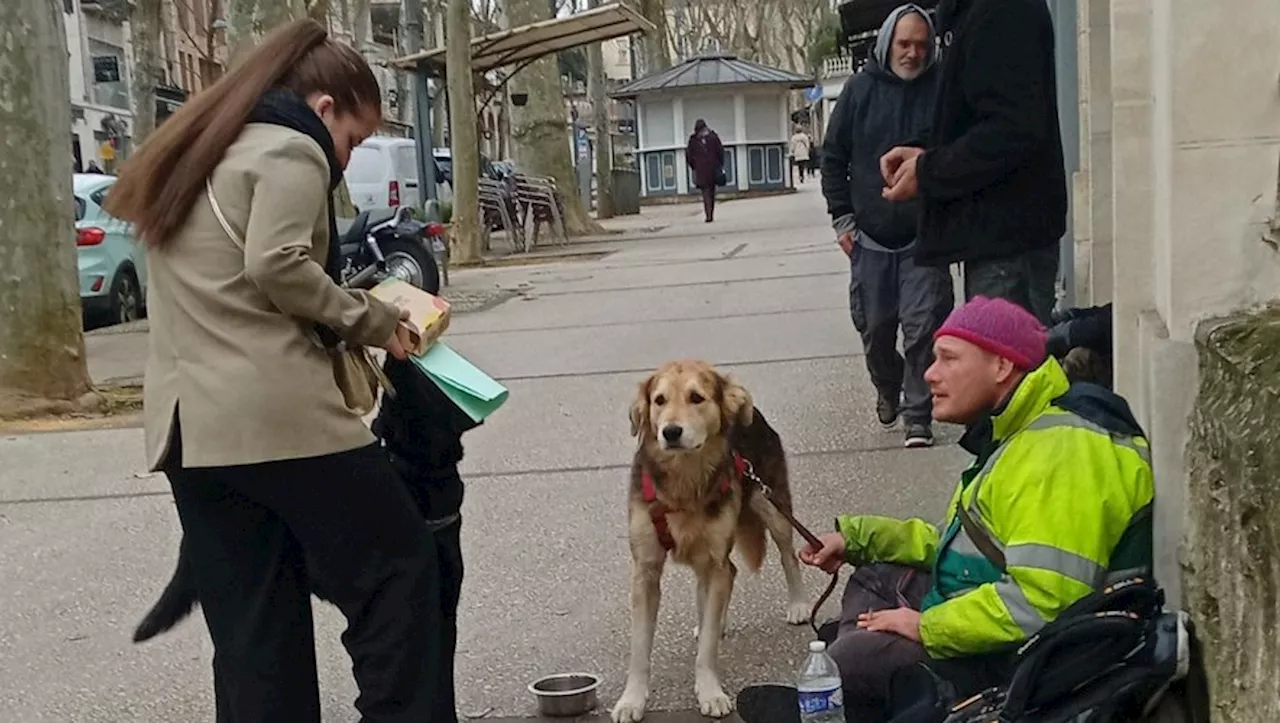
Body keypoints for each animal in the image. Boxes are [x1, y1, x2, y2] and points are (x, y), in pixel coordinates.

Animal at [611, 360, 808, 721]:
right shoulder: (645, 570)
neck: (684, 485)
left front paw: (710, 692)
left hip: (770, 504)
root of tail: (751, 413)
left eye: (696, 398)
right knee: (725, 581)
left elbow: (706, 651)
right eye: (659, 400)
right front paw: (631, 700)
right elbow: (640, 650)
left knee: (787, 554)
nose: (670, 432)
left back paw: (798, 603)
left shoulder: (713, 561)